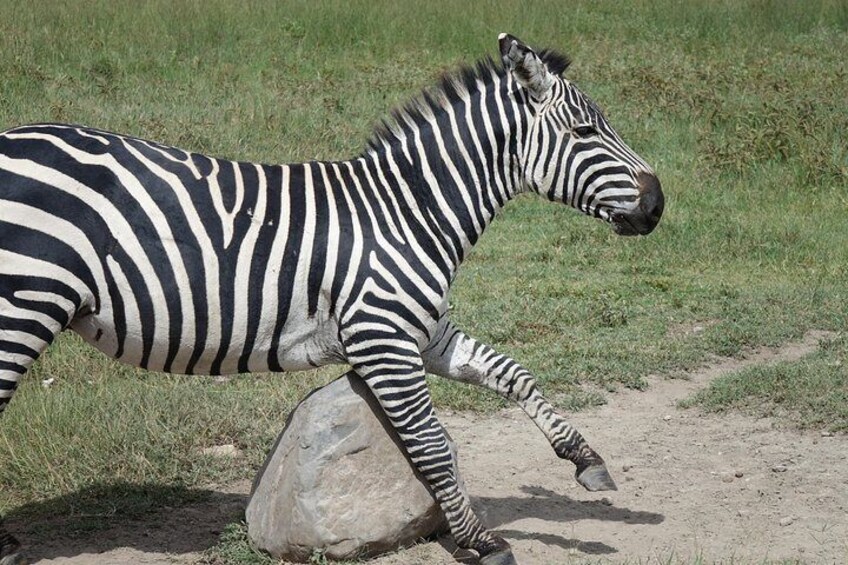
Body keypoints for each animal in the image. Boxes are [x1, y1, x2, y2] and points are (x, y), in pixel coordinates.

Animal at [0, 36, 664, 564]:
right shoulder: (384, 342)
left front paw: (583, 457)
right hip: (23, 305)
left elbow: (514, 373)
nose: (659, 205)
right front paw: (482, 541)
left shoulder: (424, 334)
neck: (408, 213)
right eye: (585, 132)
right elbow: (433, 446)